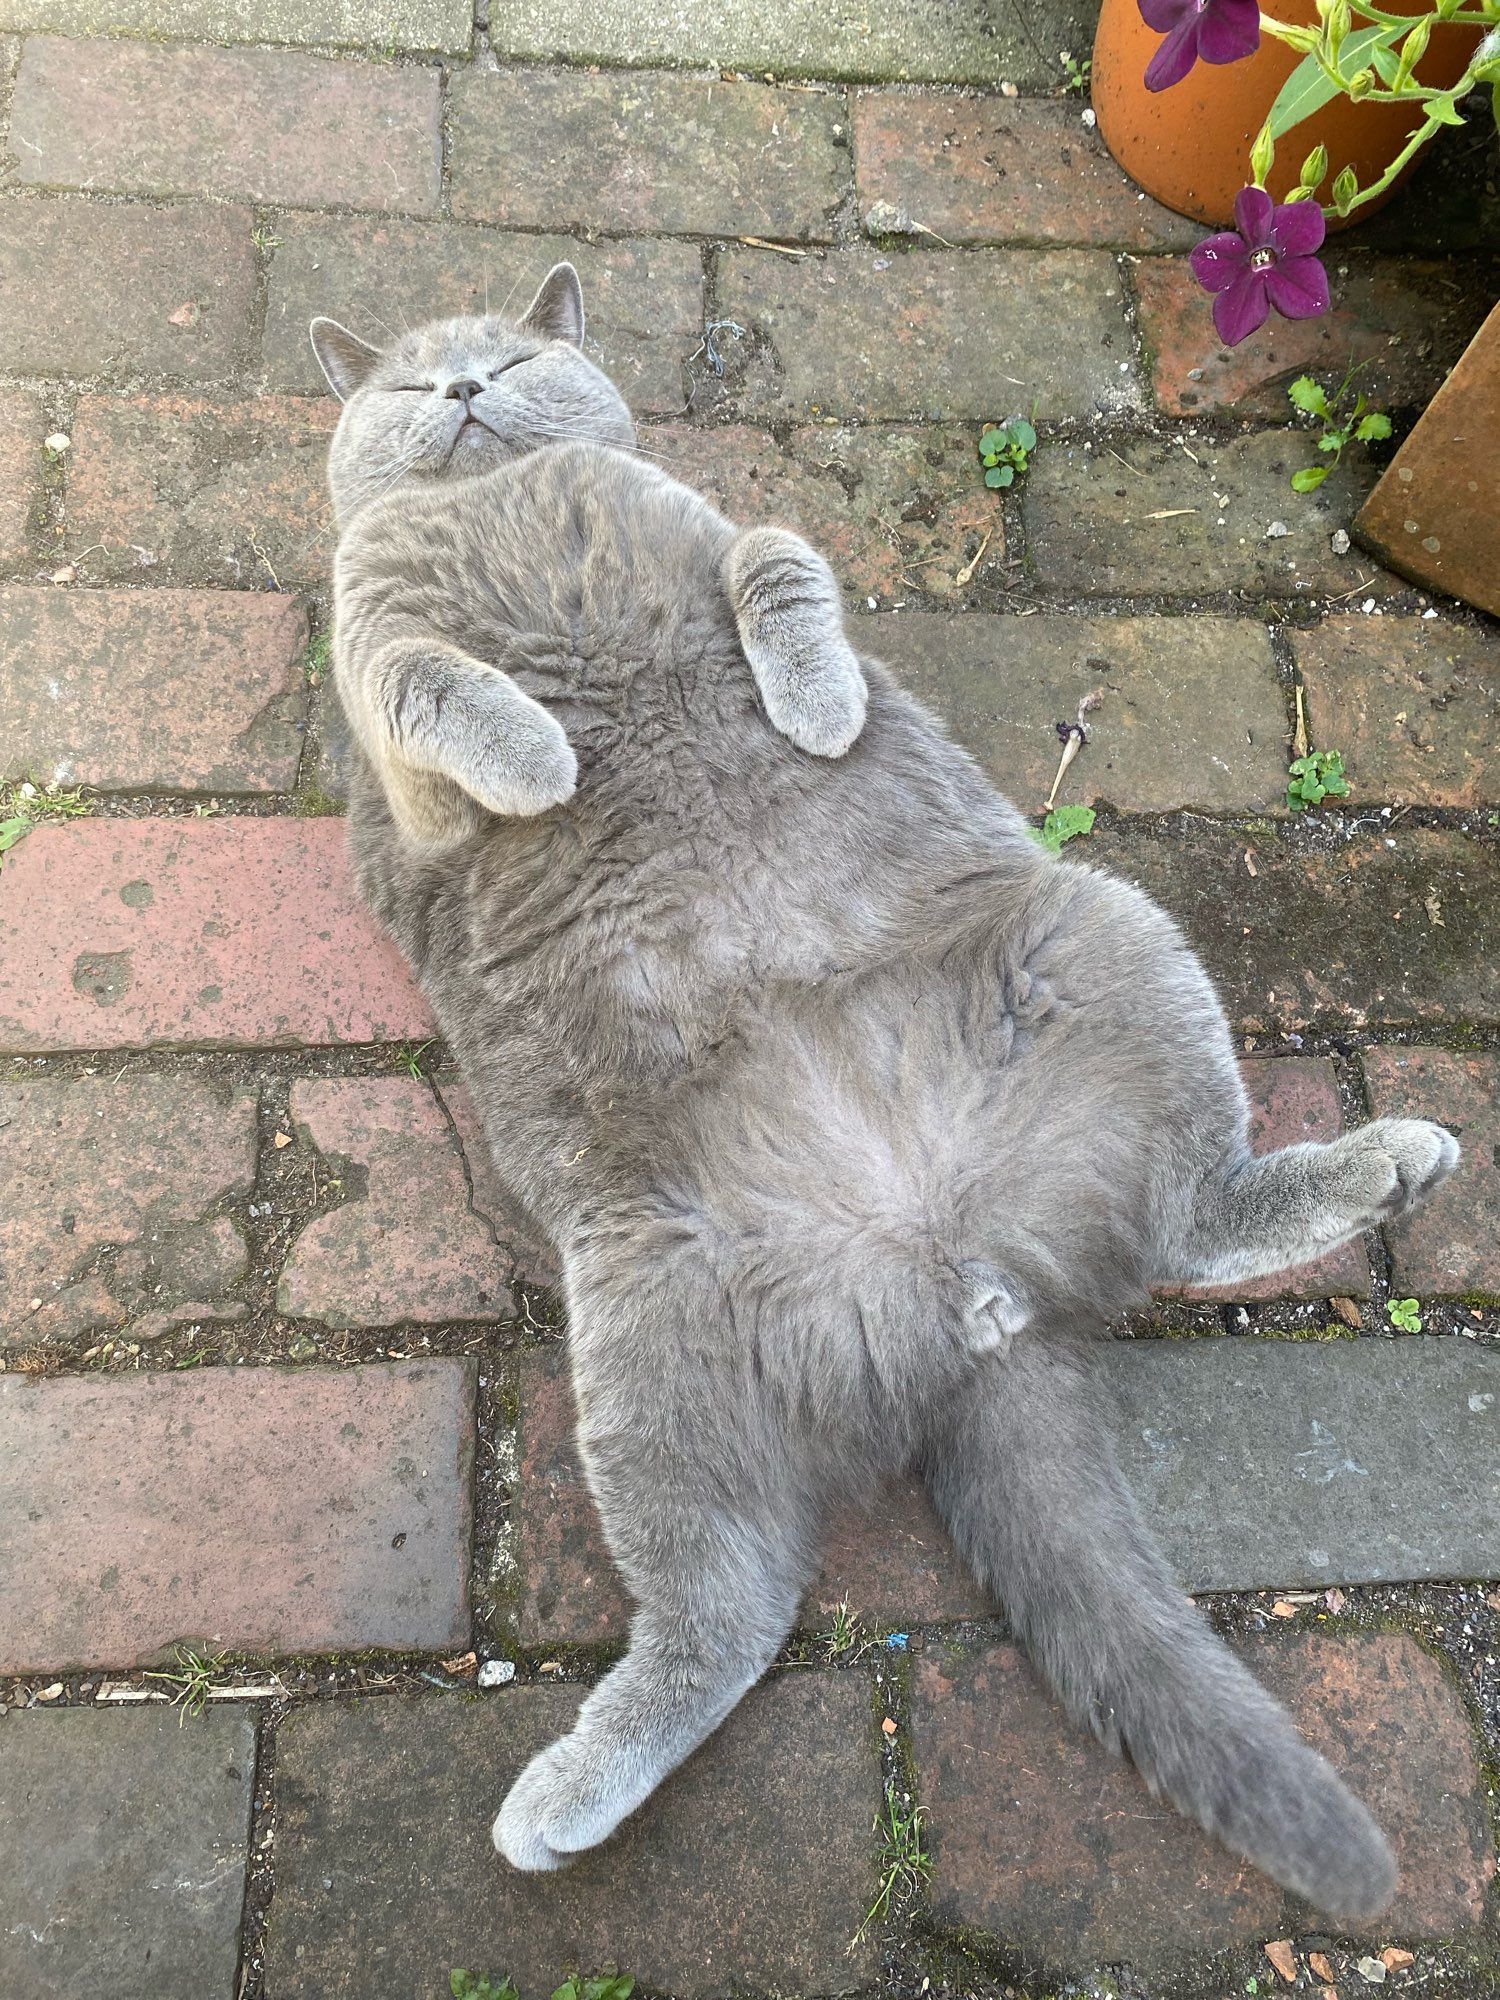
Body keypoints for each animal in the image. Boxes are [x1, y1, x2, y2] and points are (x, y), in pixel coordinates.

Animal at [314, 262, 1456, 1904]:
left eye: (514, 363)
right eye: (412, 389)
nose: (464, 389)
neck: (499, 500)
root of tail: (963, 1280)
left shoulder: (716, 524)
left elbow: (780, 563)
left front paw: (816, 705)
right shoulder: (380, 698)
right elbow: (429, 683)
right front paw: (541, 759)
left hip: (1100, 933)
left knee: (1186, 1213)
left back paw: (1389, 1162)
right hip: (649, 1341)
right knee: (727, 1611)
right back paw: (560, 1799)